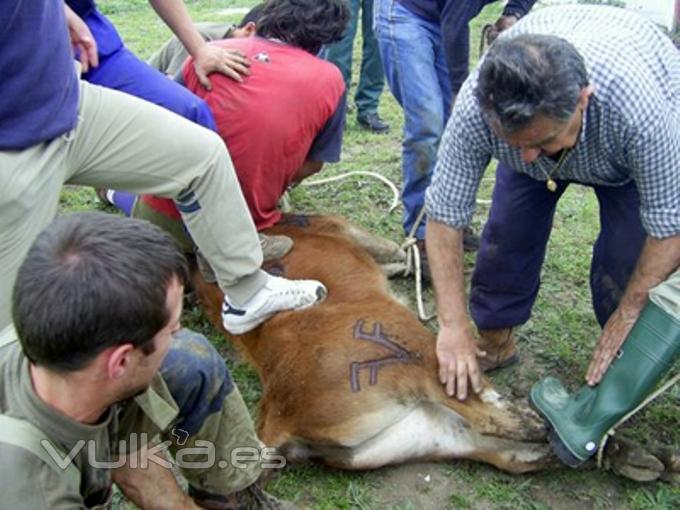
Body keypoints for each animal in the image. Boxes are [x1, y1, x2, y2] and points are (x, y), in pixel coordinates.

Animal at [191, 214, 680, 482]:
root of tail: (280, 418)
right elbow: (394, 253)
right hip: (418, 358)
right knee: (506, 423)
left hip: (418, 436)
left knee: (515, 451)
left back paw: (645, 459)